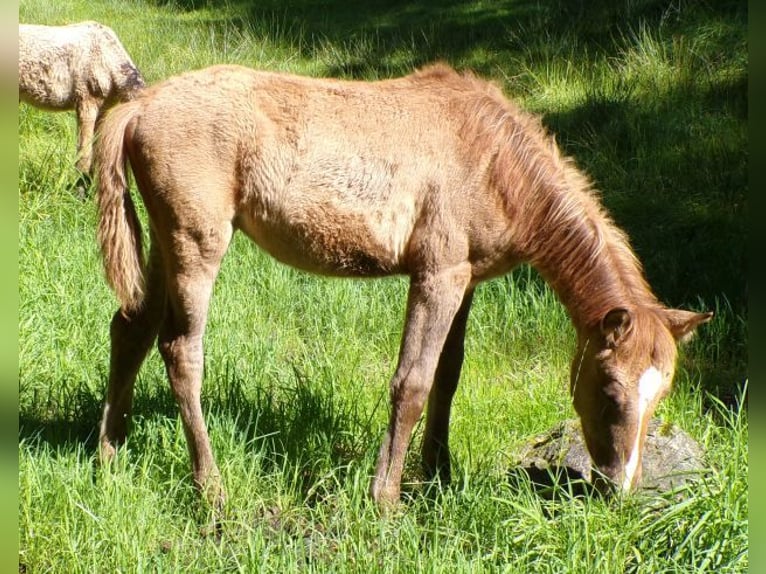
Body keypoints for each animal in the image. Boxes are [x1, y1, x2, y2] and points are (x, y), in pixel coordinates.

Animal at [93, 62, 712, 510]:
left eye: (660, 397)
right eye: (609, 390)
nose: (619, 490)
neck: (496, 162)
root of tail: (140, 107)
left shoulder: (466, 280)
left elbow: (448, 376)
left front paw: (438, 474)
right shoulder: (437, 274)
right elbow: (411, 383)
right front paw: (386, 498)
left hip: (165, 247)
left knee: (129, 330)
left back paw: (108, 455)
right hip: (197, 245)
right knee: (180, 352)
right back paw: (211, 488)